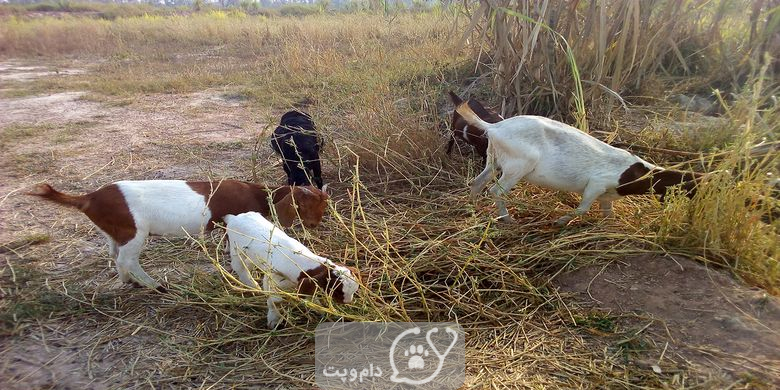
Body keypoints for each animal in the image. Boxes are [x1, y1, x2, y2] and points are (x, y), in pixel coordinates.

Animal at [28, 180, 330, 290]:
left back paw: (129, 281)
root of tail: (89, 198)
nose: (316, 225)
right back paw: (153, 285)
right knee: (127, 259)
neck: (257, 195)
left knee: (114, 254)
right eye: (309, 206)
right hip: (134, 232)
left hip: (116, 232)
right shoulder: (234, 225)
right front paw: (250, 284)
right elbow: (237, 259)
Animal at [224, 212, 362, 328]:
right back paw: (252, 284)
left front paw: (318, 307)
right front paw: (274, 319)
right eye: (337, 291)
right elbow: (274, 300)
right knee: (239, 267)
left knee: (248, 263)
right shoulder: (271, 279)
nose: (348, 302)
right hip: (236, 250)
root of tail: (233, 217)